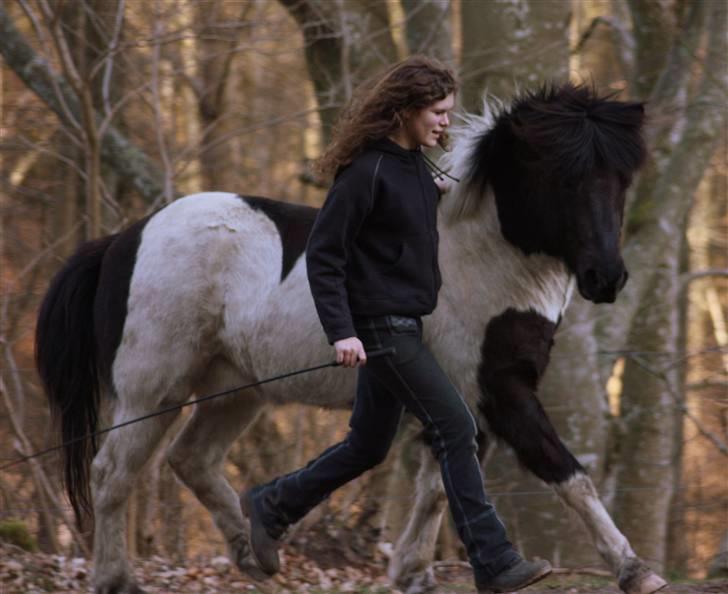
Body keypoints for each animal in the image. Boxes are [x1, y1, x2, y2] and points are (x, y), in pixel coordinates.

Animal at [38, 84, 664, 592]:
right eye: (562, 178)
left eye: (622, 179)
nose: (607, 278)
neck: (480, 261)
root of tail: (125, 238)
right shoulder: (503, 394)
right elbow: (566, 473)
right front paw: (634, 570)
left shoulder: (465, 401)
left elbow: (440, 486)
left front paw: (413, 572)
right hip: (154, 391)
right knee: (112, 473)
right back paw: (117, 579)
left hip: (236, 389)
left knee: (191, 459)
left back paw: (254, 553)